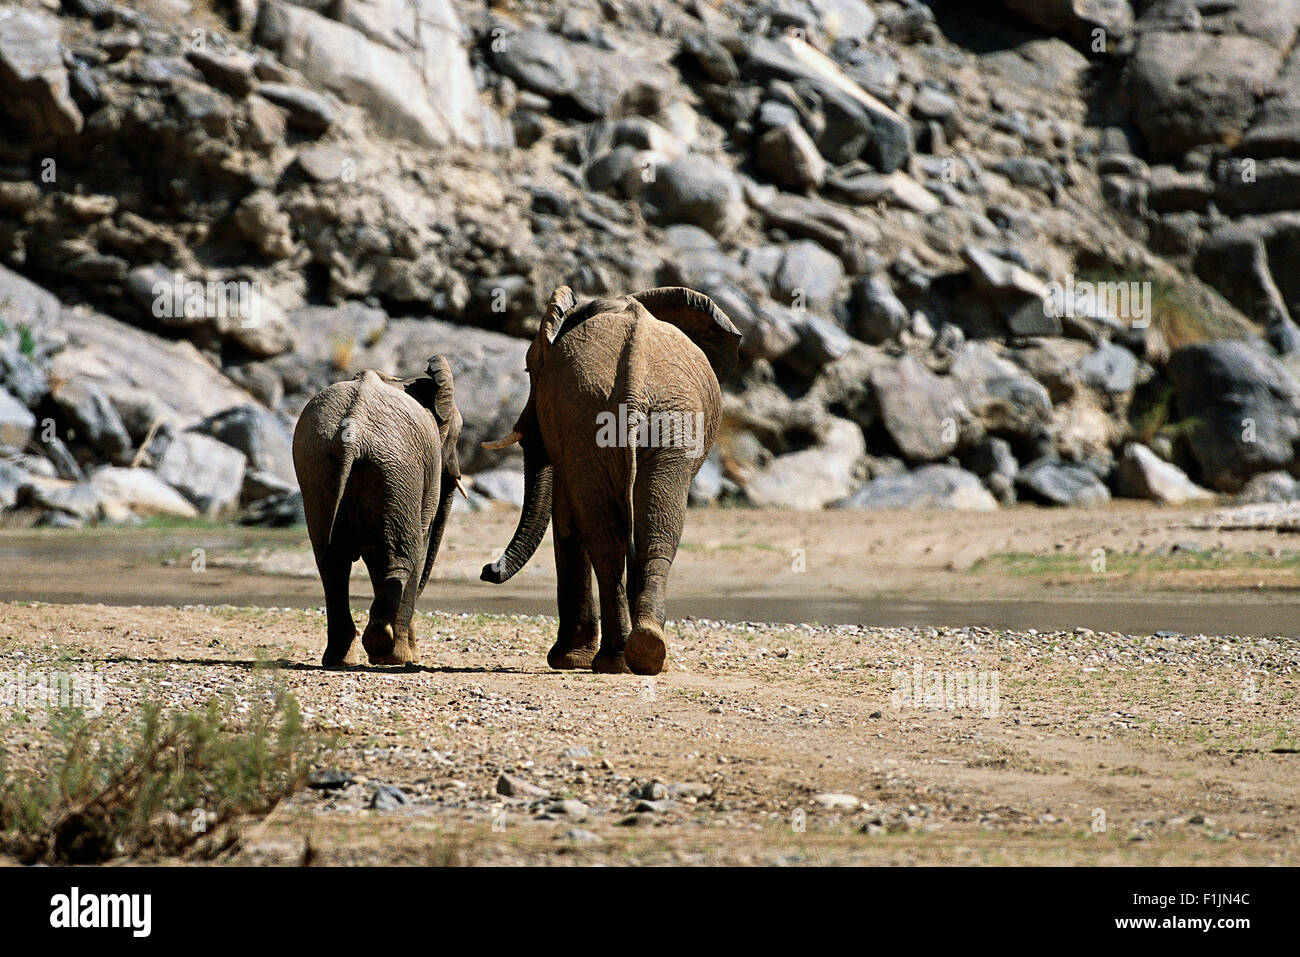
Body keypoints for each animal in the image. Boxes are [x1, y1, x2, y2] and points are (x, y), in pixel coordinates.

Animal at [292, 356, 464, 667]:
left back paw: (342, 658)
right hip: (397, 470)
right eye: (458, 434)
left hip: (319, 466)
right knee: (403, 555)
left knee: (331, 561)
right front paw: (406, 656)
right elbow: (414, 547)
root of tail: (352, 435)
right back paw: (388, 650)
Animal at [479, 285, 741, 676]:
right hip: (644, 418)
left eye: (529, 368)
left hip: (626, 416)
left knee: (615, 534)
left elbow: (568, 515)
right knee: (652, 530)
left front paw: (568, 661)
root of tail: (634, 383)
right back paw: (643, 654)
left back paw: (621, 658)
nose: (487, 569)